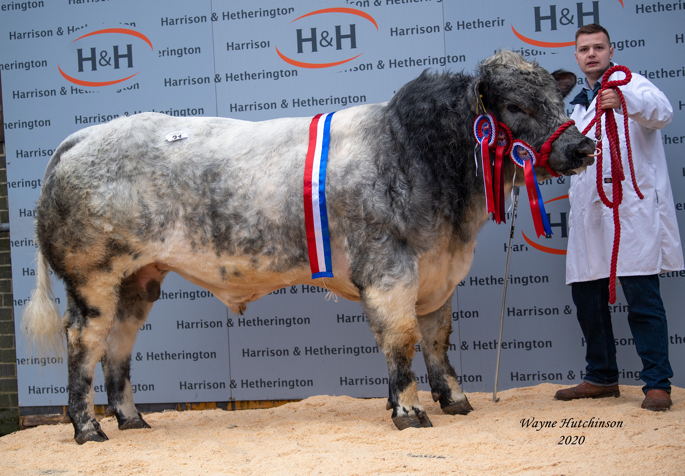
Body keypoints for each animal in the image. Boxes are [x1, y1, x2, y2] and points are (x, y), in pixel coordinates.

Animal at [22, 50, 592, 444]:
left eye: (559, 99)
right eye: (515, 106)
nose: (582, 147)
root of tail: (84, 137)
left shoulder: (438, 274)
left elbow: (437, 340)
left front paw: (454, 400)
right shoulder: (390, 271)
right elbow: (402, 340)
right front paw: (409, 411)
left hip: (139, 279)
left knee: (119, 343)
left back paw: (132, 419)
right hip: (92, 278)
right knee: (84, 342)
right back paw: (87, 428)